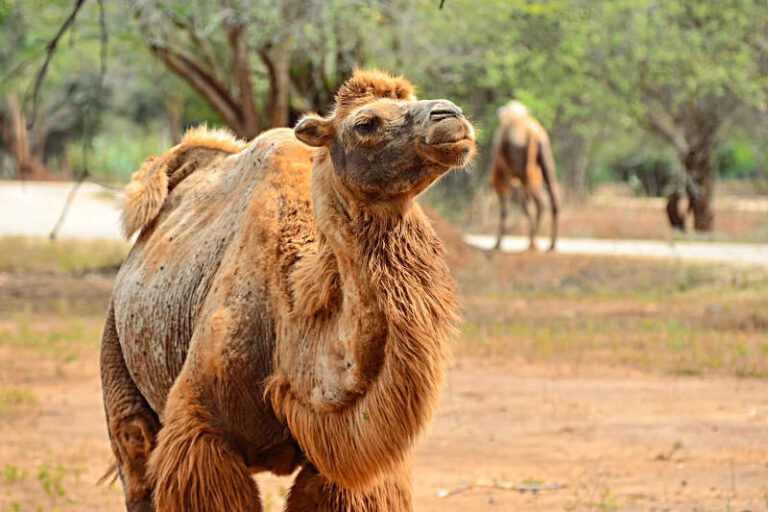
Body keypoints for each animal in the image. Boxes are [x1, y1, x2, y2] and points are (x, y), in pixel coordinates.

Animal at [100, 69, 475, 512]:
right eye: (366, 124)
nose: (451, 116)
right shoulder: (202, 430)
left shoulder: (339, 463)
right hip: (115, 349)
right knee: (135, 454)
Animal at [489, 101, 559, 251]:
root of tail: (532, 133)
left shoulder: (504, 171)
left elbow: (504, 207)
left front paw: (497, 244)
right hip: (544, 154)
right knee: (549, 196)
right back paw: (550, 244)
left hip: (523, 167)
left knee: (528, 203)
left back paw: (533, 242)